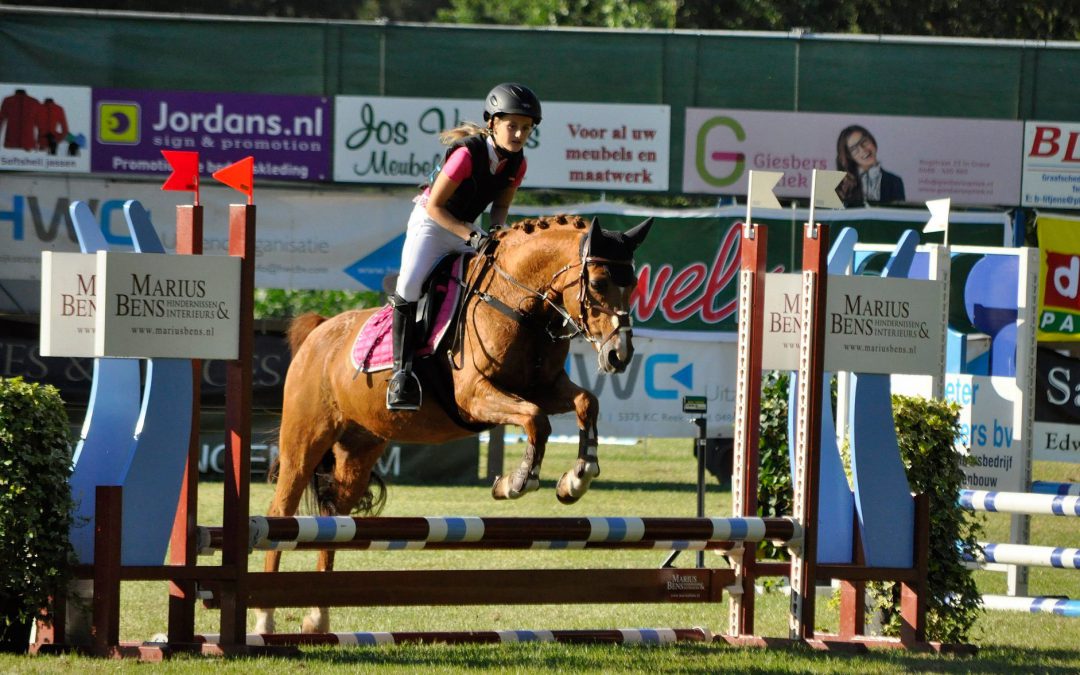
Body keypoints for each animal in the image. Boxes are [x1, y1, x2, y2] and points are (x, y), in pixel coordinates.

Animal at [253, 214, 652, 633]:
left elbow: (586, 402)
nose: (619, 355)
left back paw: (318, 617)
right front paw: (515, 482)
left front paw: (578, 476)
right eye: (599, 283)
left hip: (358, 450)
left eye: (633, 285)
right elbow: (535, 419)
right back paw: (264, 619)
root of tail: (319, 330)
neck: (520, 305)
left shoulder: (545, 387)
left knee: (335, 517)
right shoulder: (474, 395)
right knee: (281, 511)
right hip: (305, 440)